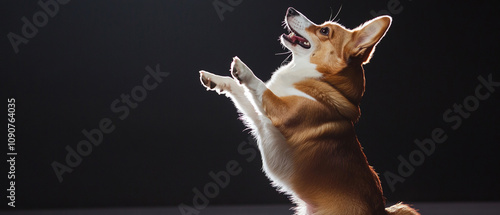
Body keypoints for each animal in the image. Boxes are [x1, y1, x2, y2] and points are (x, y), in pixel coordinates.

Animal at [197, 7, 420, 215]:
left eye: (324, 30)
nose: (291, 9)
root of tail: (380, 210)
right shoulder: (261, 120)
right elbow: (239, 89)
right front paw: (215, 79)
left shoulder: (281, 112)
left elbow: (261, 87)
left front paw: (243, 70)